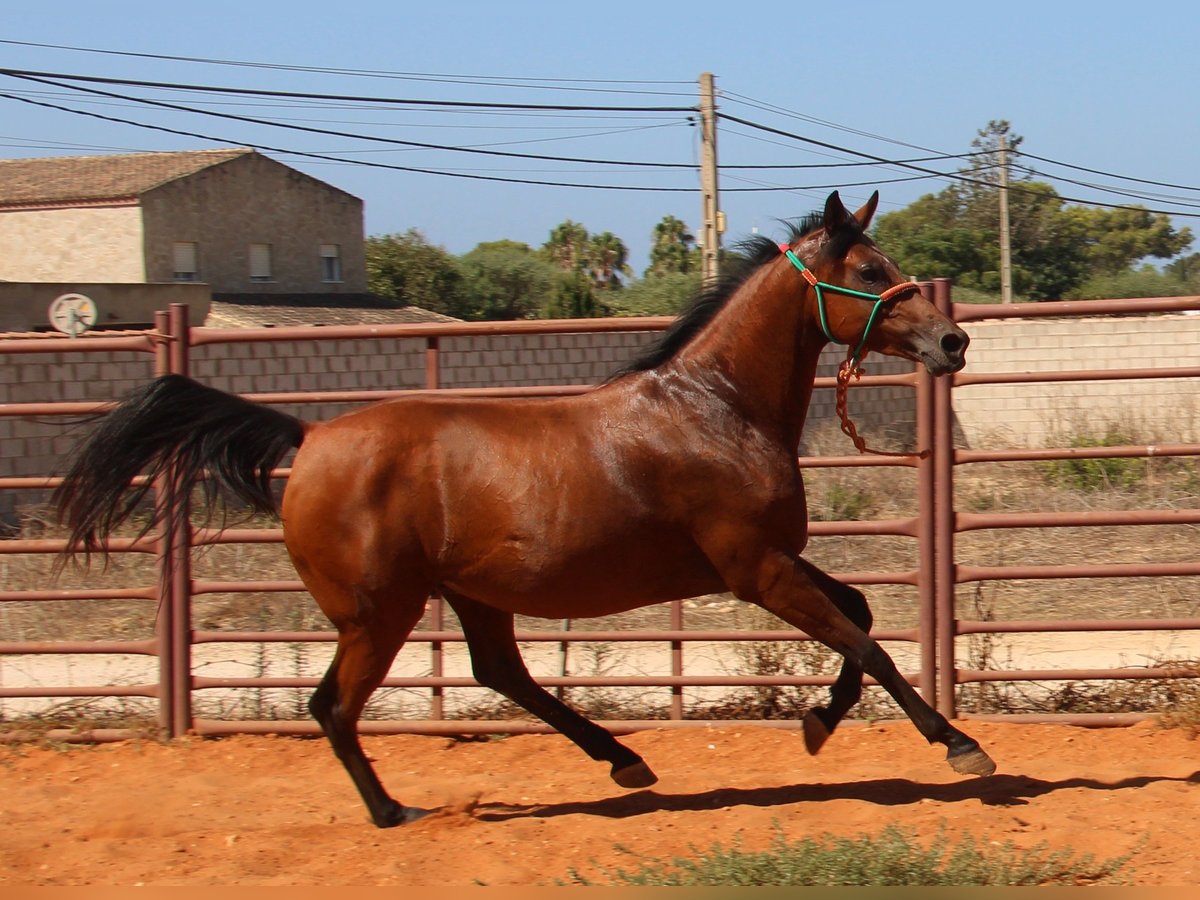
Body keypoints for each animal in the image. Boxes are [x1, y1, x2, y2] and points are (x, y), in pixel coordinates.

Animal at [54, 192, 993, 830]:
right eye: (870, 273)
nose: (953, 341)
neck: (717, 407)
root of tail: (310, 437)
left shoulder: (772, 561)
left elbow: (860, 615)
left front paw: (817, 724)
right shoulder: (754, 569)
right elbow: (864, 641)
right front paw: (957, 745)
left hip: (470, 595)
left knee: (500, 674)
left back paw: (624, 762)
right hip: (379, 611)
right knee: (334, 707)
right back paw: (394, 812)